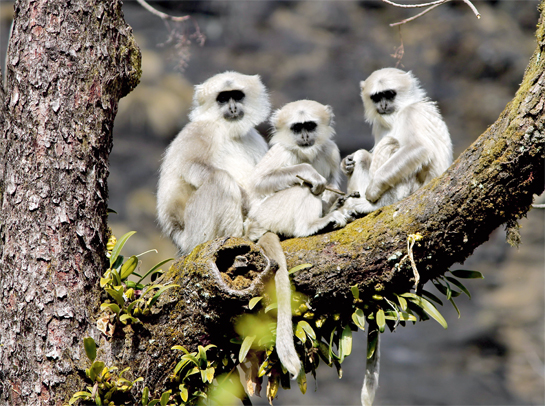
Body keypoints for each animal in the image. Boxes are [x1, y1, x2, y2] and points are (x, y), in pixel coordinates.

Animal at [156, 70, 268, 254]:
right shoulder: (201, 130)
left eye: (237, 95)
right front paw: (248, 201)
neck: (228, 130)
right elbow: (191, 166)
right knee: (220, 180)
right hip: (195, 234)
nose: (233, 108)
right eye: (222, 98)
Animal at [243, 100, 346, 380]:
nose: (305, 137)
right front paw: (309, 172)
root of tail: (254, 228)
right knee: (303, 188)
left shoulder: (332, 151)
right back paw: (310, 226)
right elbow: (257, 183)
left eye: (309, 126)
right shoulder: (283, 153)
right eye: (297, 128)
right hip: (269, 213)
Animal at [342, 67, 452, 406]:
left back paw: (368, 205)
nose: (382, 106)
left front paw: (369, 194)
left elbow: (417, 148)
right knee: (367, 156)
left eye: (389, 94)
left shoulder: (411, 113)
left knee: (392, 146)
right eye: (377, 96)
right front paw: (348, 162)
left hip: (405, 193)